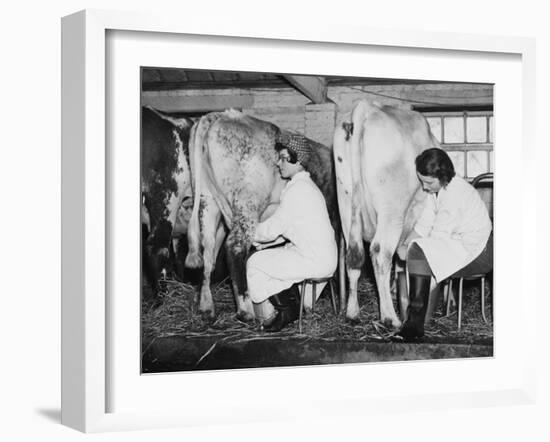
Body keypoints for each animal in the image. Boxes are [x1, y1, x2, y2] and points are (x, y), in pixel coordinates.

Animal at [187, 110, 340, 322]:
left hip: (207, 202)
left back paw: (206, 307)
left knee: (208, 250)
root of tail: (222, 115)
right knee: (234, 246)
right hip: (247, 203)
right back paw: (246, 311)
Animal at [334, 100, 442, 328]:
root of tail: (366, 107)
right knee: (380, 252)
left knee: (354, 255)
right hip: (391, 211)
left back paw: (352, 312)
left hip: (346, 203)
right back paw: (390, 317)